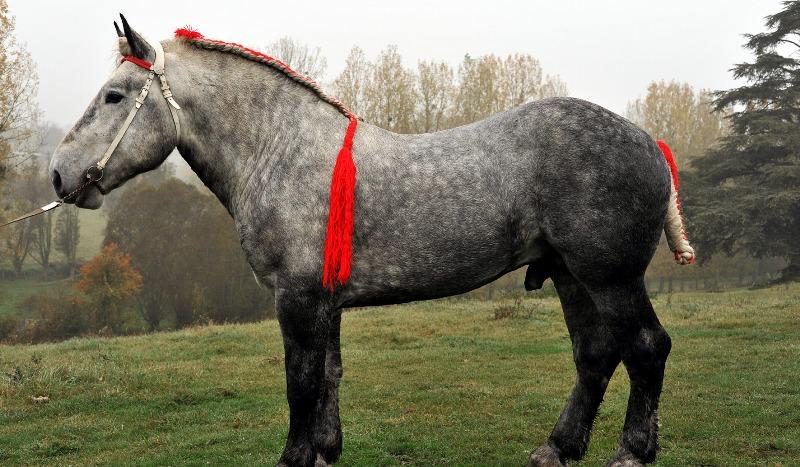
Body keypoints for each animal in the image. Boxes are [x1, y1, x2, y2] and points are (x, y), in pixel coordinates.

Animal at [50, 15, 696, 467]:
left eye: (114, 95)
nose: (59, 174)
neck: (282, 151)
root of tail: (649, 143)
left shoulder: (299, 299)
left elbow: (302, 382)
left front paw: (296, 455)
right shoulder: (324, 301)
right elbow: (329, 376)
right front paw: (325, 450)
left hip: (610, 278)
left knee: (645, 348)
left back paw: (632, 450)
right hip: (570, 275)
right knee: (595, 355)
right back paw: (557, 447)